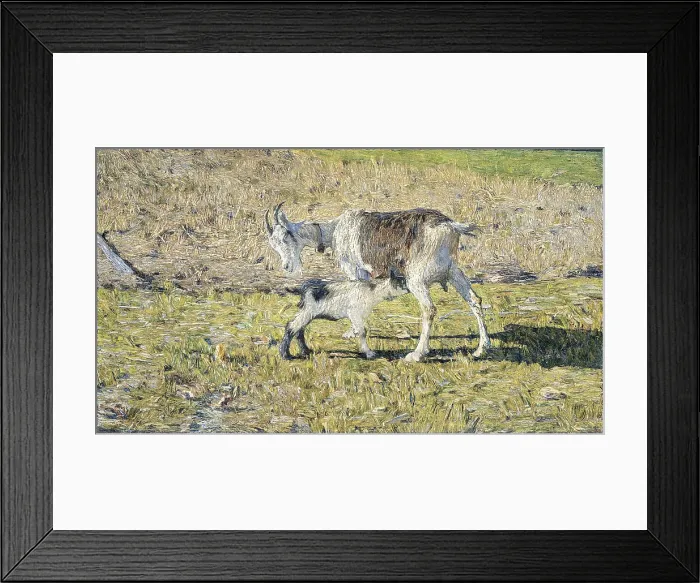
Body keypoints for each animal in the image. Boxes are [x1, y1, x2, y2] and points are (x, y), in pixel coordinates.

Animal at [280, 275, 408, 360]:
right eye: (404, 282)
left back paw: (306, 351)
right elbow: (362, 332)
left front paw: (350, 335)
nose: (410, 288)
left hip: (307, 313)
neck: (373, 291)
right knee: (291, 327)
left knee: (299, 330)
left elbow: (358, 329)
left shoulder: (357, 316)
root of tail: (303, 287)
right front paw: (368, 353)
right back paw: (285, 355)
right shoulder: (354, 313)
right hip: (308, 312)